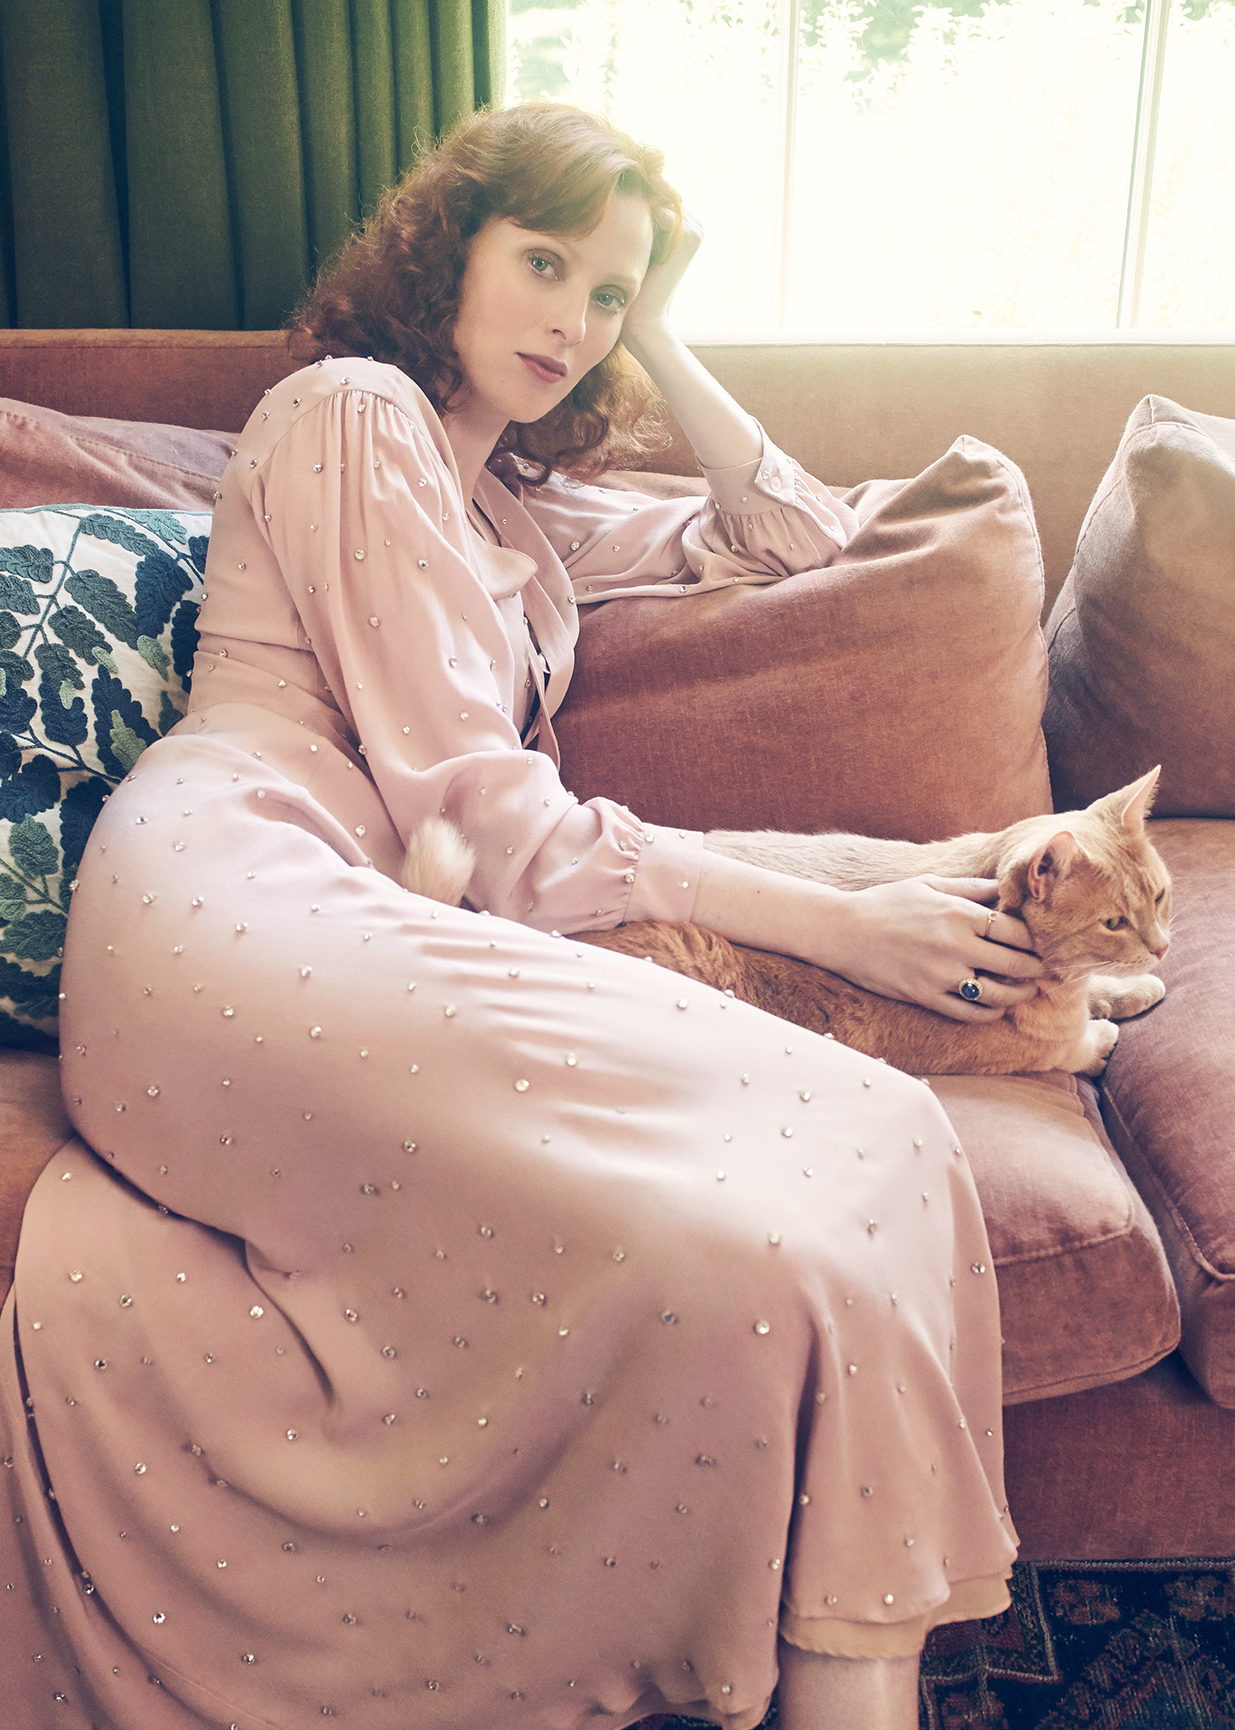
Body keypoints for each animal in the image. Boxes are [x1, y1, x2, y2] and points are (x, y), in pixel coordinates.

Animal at [403, 767, 1171, 1078]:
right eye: (1113, 921)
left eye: (1160, 898)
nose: (1163, 947)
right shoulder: (1005, 1047)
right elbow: (1068, 1046)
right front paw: (1102, 1033)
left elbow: (1104, 995)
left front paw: (1133, 991)